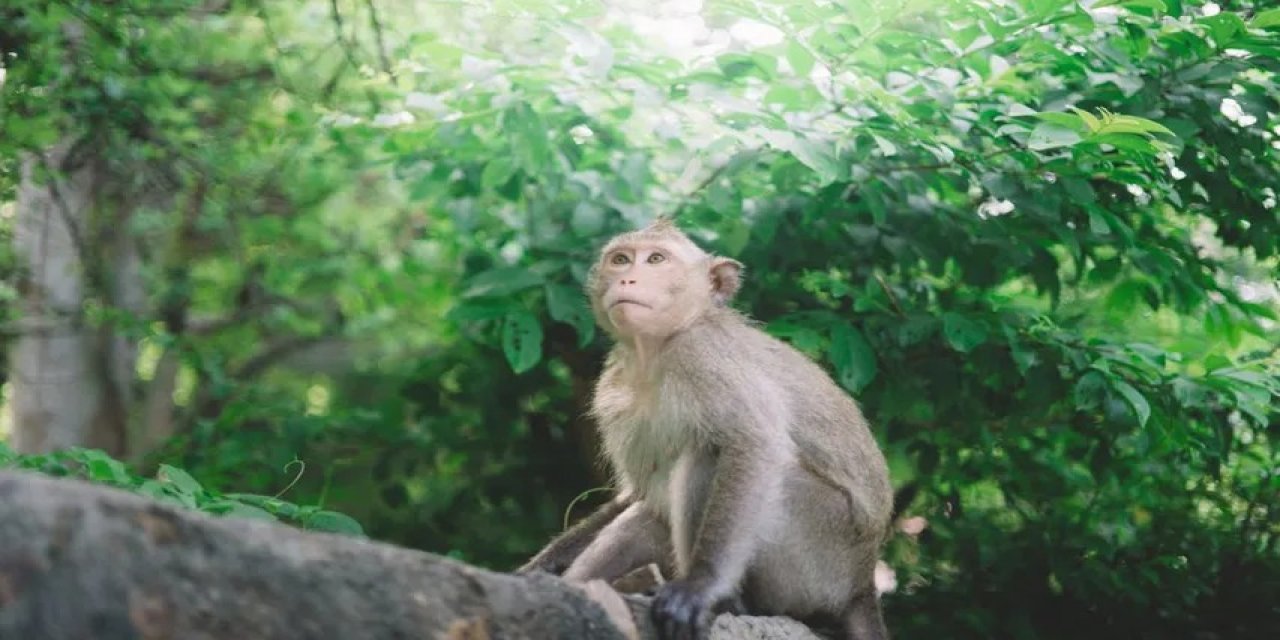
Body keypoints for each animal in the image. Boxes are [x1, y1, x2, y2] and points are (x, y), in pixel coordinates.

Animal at [514, 218, 896, 640]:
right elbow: (636, 493)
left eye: (657, 259)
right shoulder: (613, 389)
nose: (627, 278)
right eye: (621, 259)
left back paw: (725, 601)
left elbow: (753, 443)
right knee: (647, 513)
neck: (657, 352)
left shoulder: (703, 355)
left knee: (709, 456)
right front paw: (539, 569)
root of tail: (862, 583)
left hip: (820, 553)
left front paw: (699, 587)